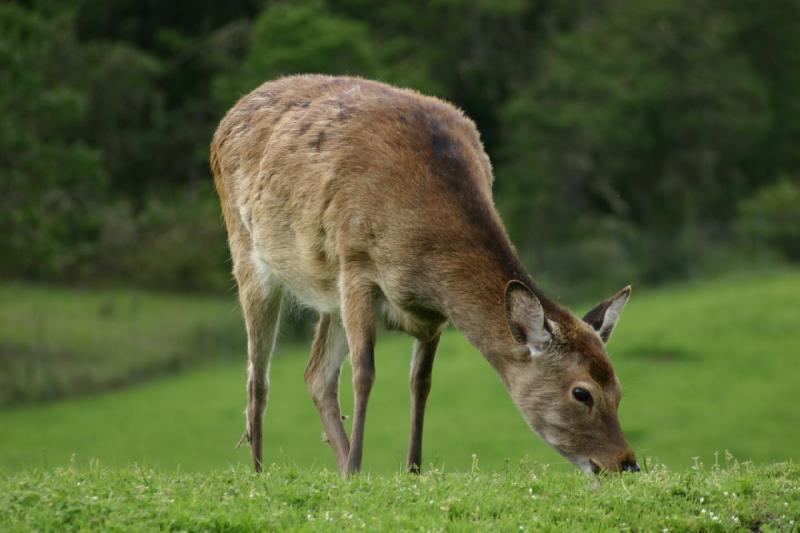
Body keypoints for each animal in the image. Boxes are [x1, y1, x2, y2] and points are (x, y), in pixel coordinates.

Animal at [211, 74, 636, 474]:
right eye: (581, 393)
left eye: (619, 389)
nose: (626, 462)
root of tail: (227, 117)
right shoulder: (357, 266)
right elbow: (365, 373)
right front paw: (357, 470)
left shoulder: (432, 313)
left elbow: (421, 382)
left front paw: (412, 469)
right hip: (247, 252)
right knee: (258, 378)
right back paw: (262, 471)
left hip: (329, 295)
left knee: (315, 375)